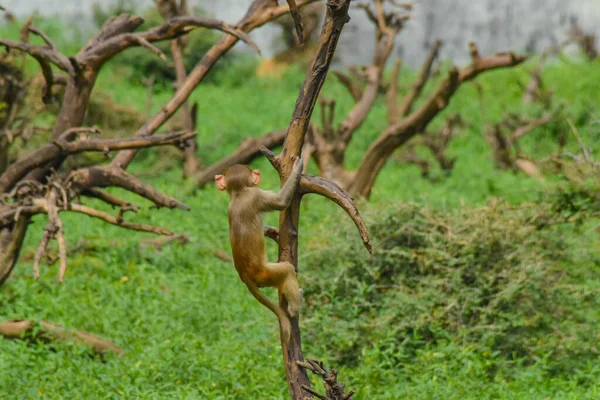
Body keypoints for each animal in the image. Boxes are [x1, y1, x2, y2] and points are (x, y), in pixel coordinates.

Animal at [214, 158, 304, 342]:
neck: (240, 193)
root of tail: (245, 276)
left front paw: (270, 231)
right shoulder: (256, 195)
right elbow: (281, 201)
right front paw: (297, 168)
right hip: (266, 273)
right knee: (287, 270)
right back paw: (294, 308)